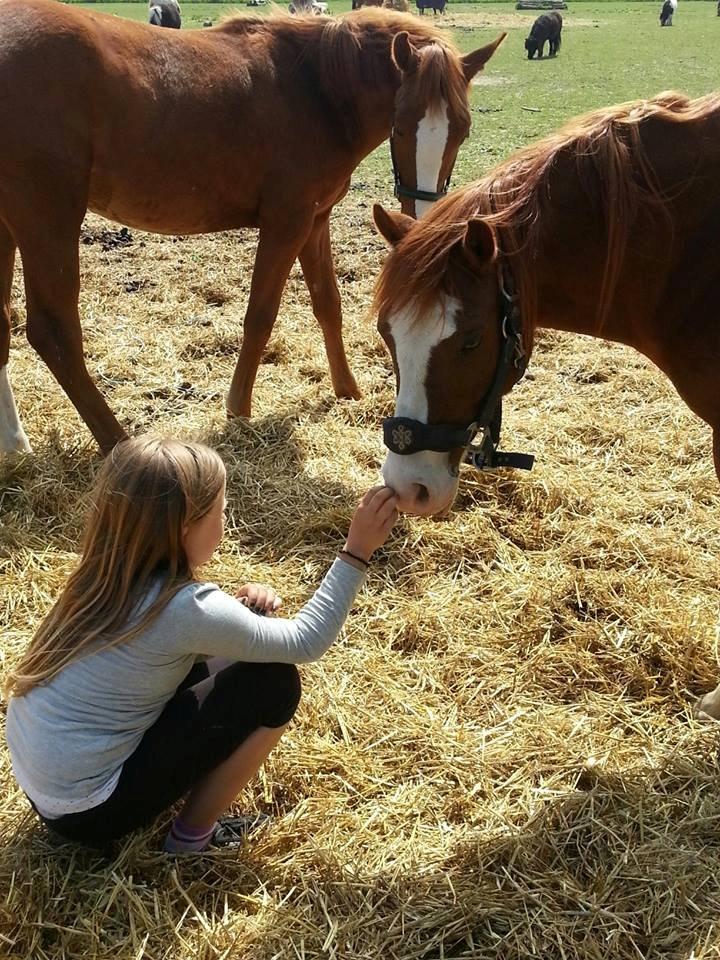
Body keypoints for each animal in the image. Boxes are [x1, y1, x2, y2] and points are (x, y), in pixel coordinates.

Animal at [0, 0, 504, 454]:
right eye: (399, 127)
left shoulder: (315, 220)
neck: (315, 91)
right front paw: (238, 408)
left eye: (462, 130)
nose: (423, 218)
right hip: (48, 219)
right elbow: (260, 315)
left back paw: (16, 443)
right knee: (53, 333)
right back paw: (117, 442)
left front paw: (347, 390)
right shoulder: (287, 221)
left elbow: (328, 304)